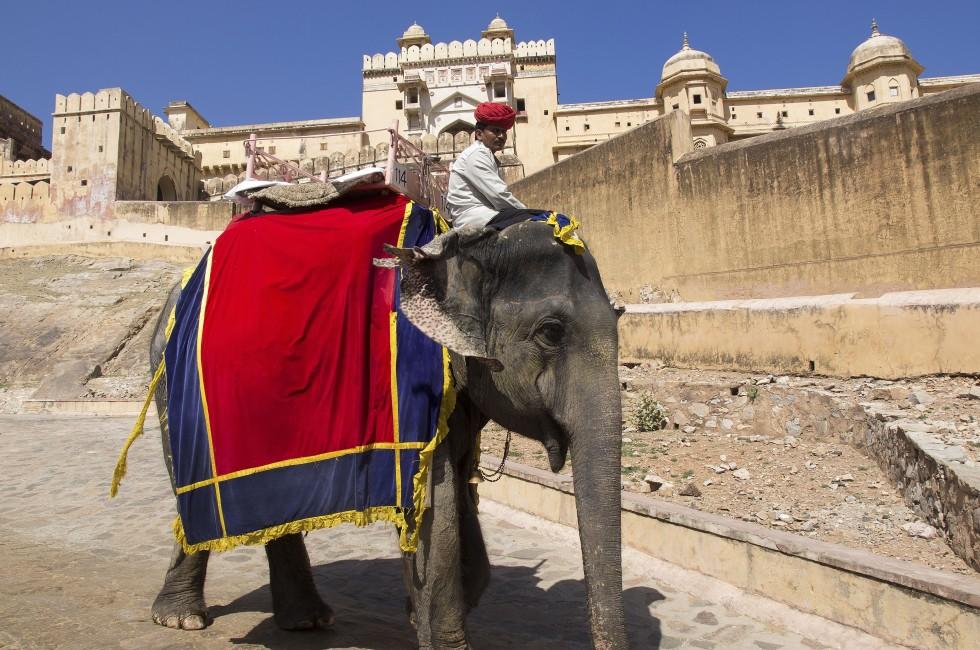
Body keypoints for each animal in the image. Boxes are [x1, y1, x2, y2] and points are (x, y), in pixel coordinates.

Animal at [147, 220, 628, 644]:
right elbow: (437, 506)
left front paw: (419, 613)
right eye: (551, 332)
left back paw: (305, 620)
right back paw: (182, 619)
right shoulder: (414, 384)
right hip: (175, 389)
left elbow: (456, 501)